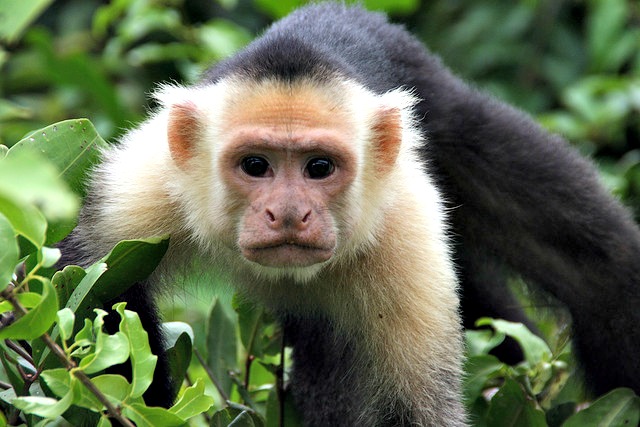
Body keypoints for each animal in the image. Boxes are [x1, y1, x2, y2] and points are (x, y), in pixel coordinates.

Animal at [57, 2, 640, 425]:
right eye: (255, 165)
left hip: (451, 113)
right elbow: (97, 292)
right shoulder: (144, 182)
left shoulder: (408, 227)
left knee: (600, 272)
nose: (288, 213)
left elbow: (416, 408)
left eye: (319, 167)